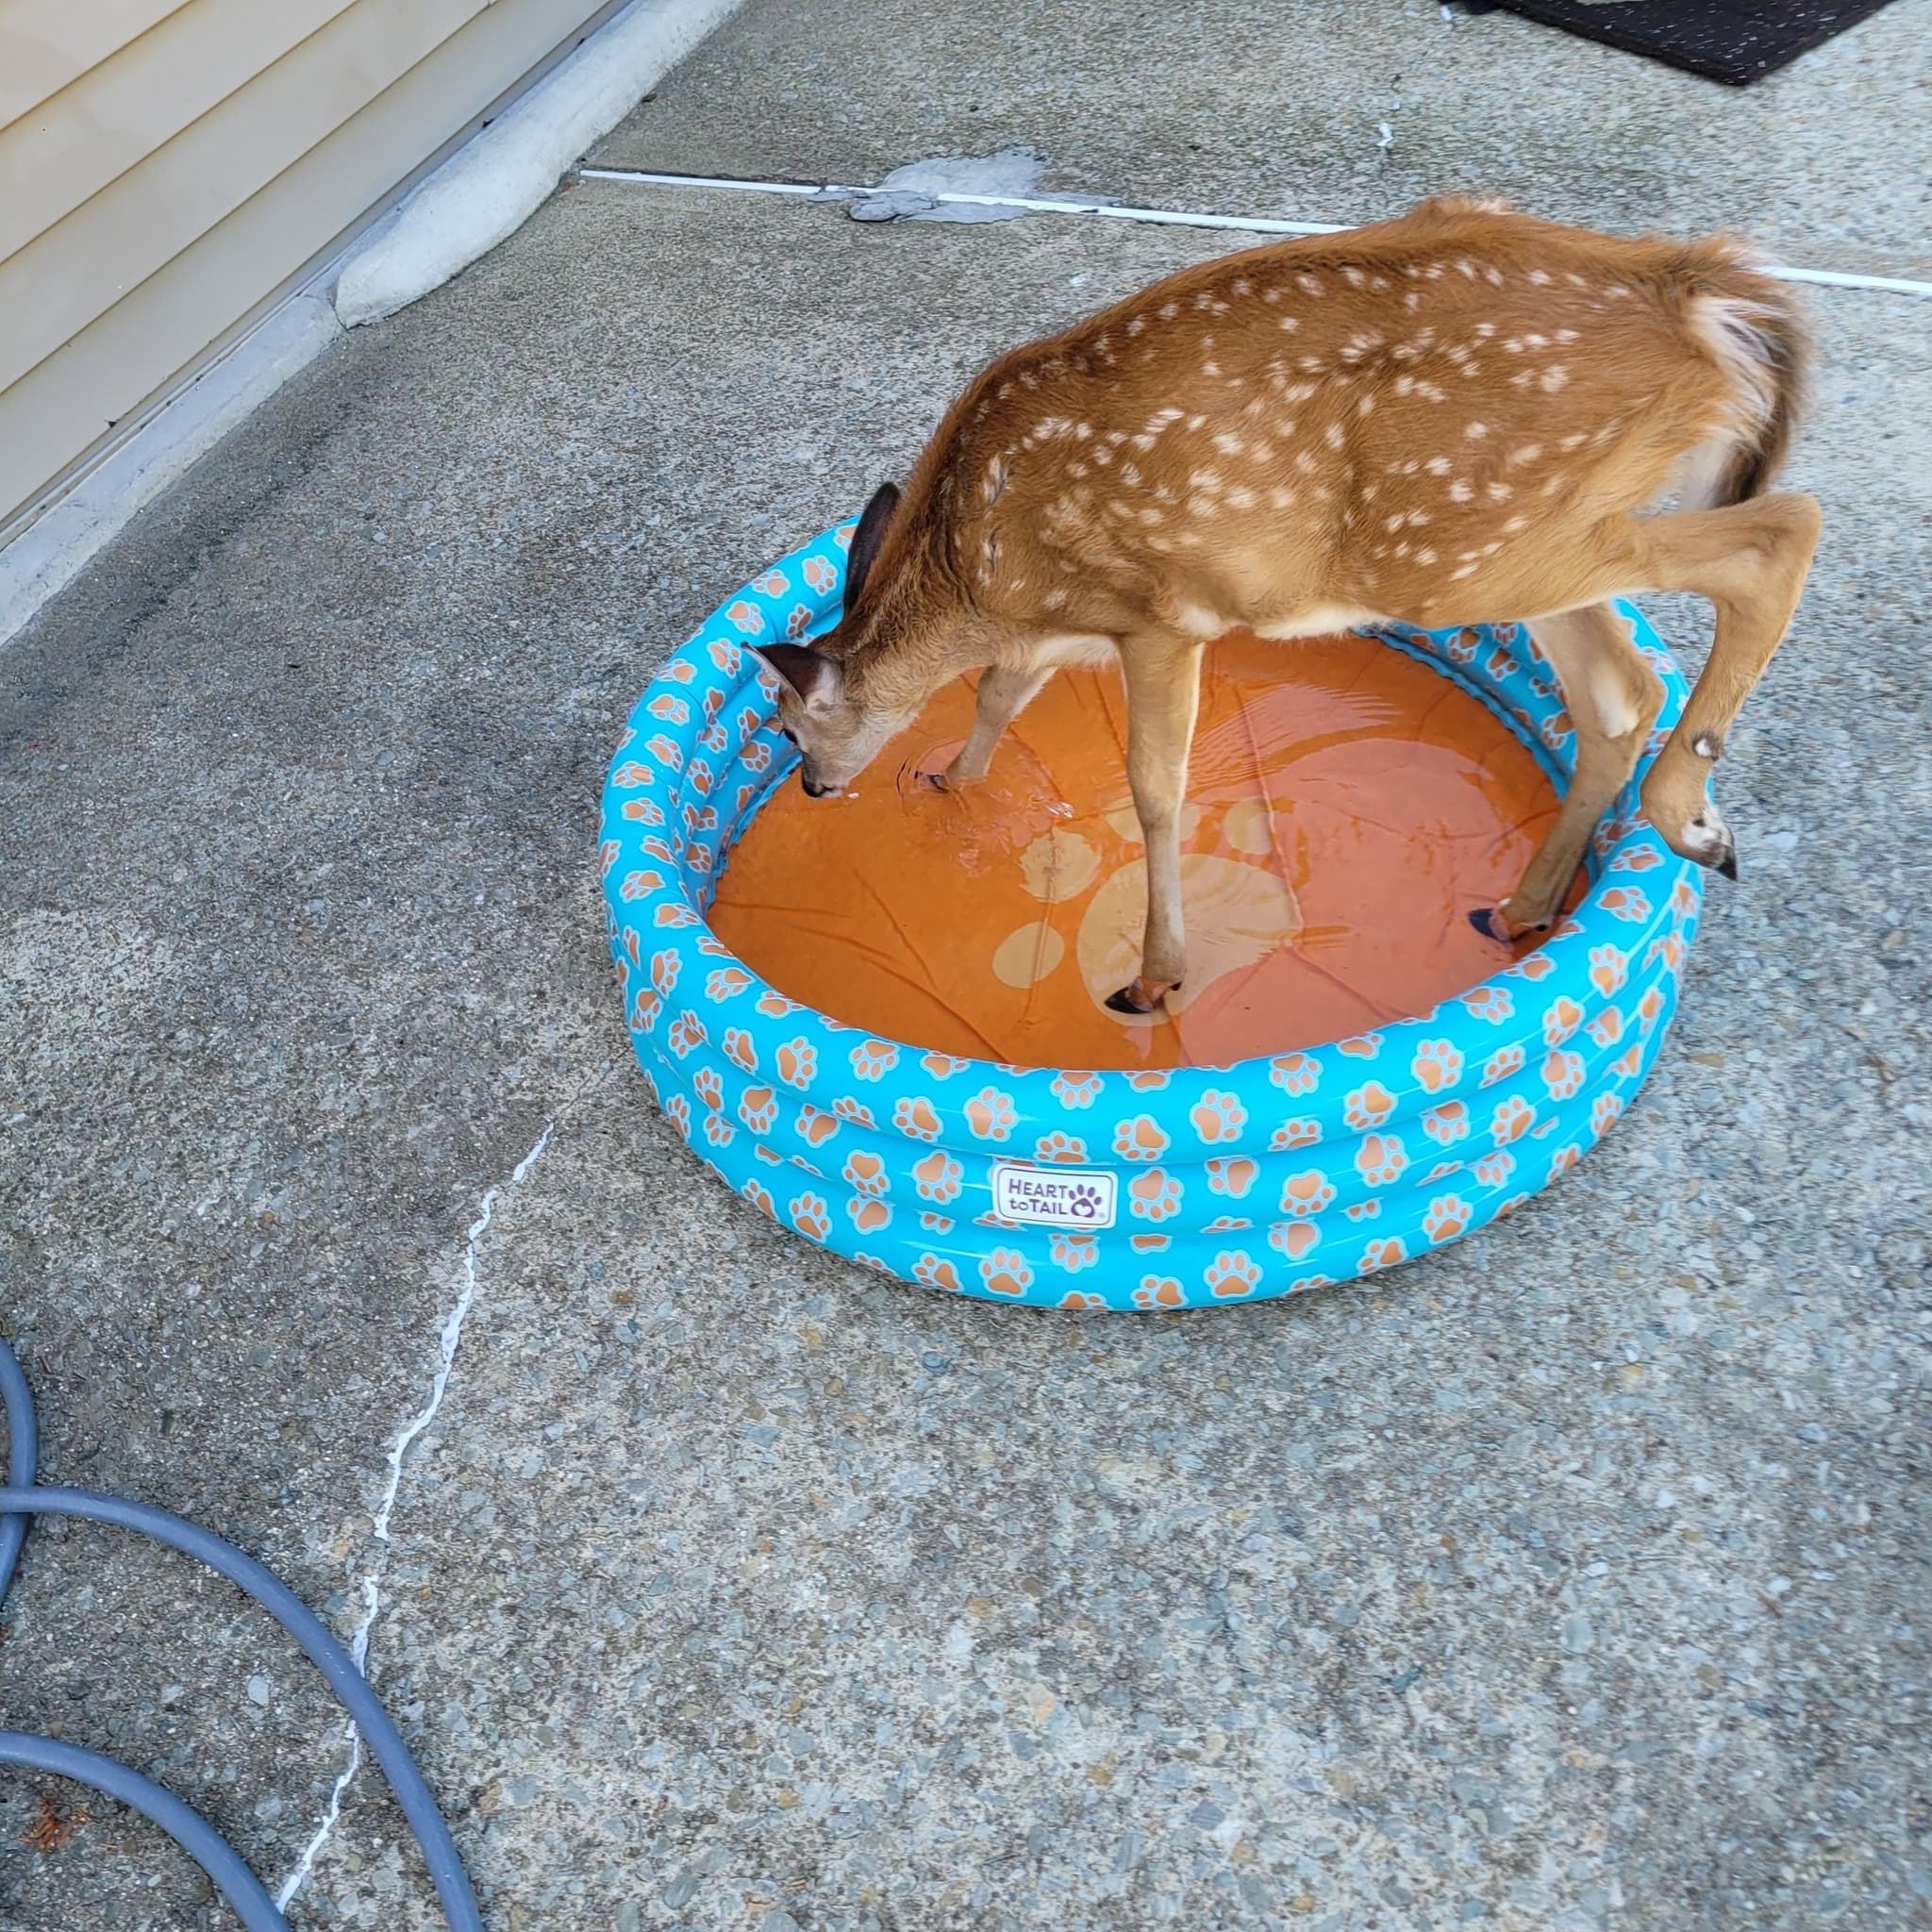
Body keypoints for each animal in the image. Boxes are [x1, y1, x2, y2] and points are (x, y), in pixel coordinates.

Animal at [751, 196, 1818, 1015]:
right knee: (1620, 693)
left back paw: (1694, 825)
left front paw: (1153, 980)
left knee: (1781, 530)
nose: (811, 789)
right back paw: (1519, 908)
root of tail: (1699, 295)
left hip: (1450, 550)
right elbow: (996, 697)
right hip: (1521, 533)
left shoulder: (1157, 617)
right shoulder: (1068, 625)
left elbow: (1152, 787)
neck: (976, 571)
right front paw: (948, 780)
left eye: (792, 729)